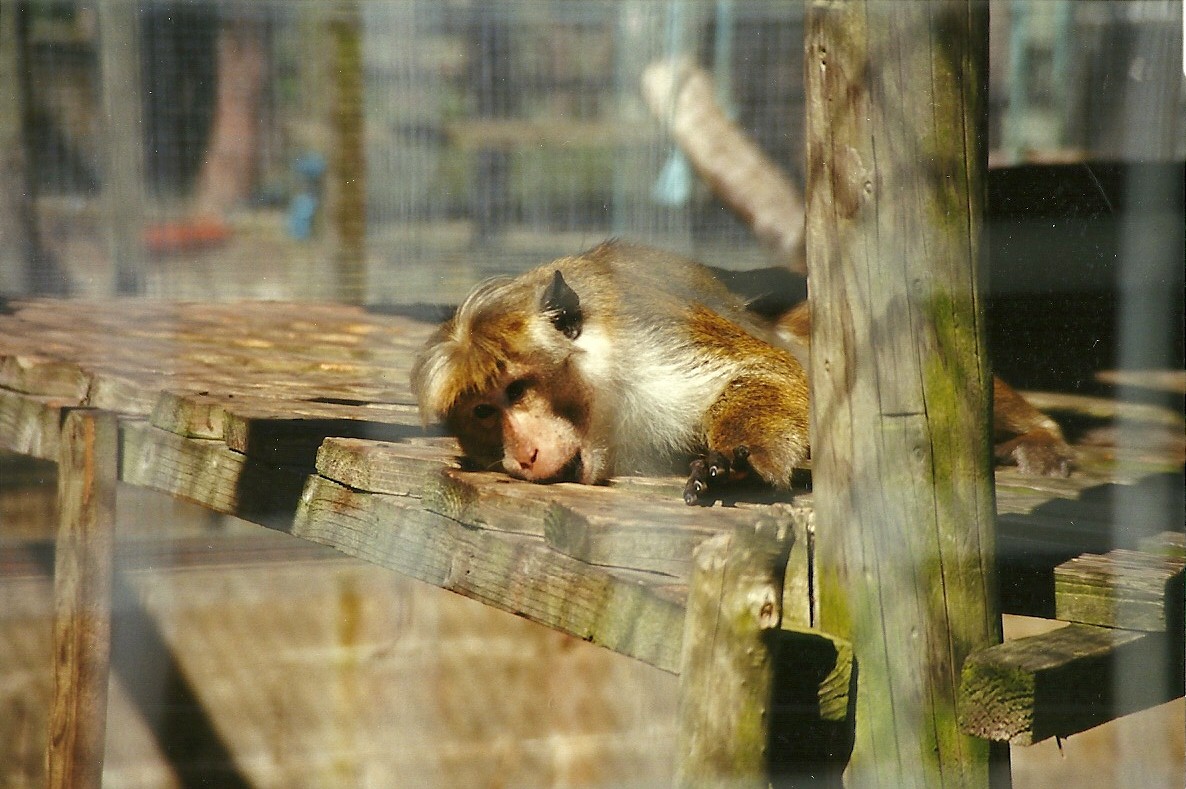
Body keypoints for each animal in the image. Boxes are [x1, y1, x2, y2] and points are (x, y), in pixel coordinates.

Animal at [412, 240, 1072, 505]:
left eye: (519, 389)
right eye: (485, 413)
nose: (522, 453)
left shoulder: (653, 344)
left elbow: (779, 374)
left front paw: (741, 458)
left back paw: (1038, 436)